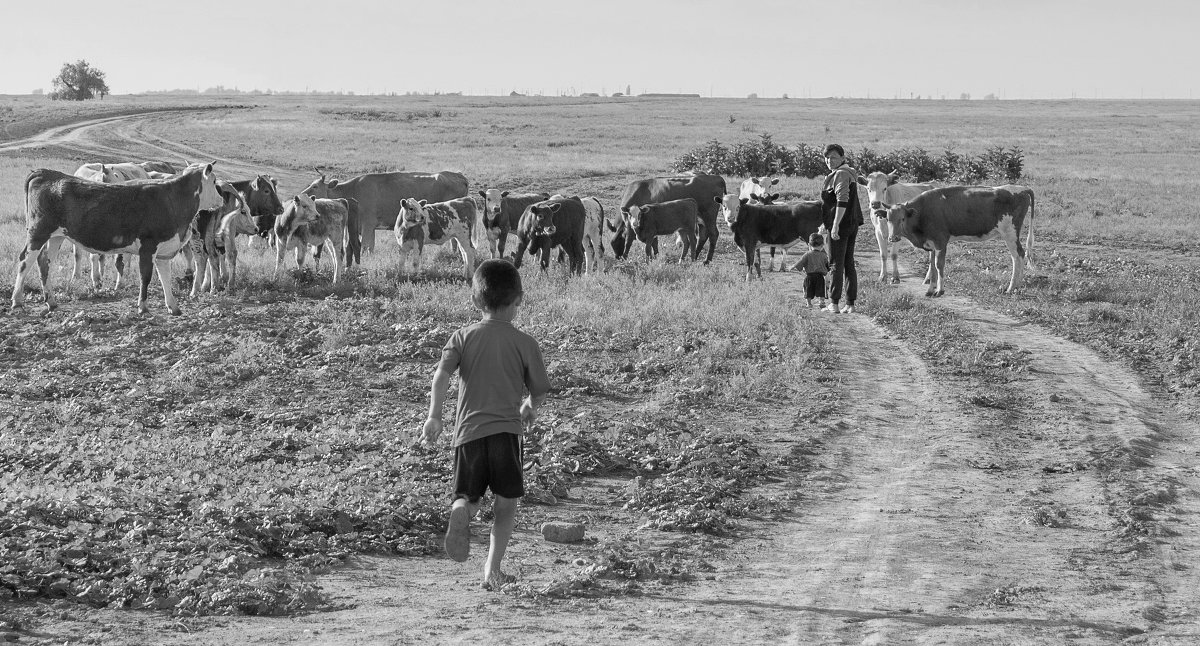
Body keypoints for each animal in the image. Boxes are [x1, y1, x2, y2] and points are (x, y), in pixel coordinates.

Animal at [12, 163, 223, 314]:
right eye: (214, 182)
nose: (221, 200)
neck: (172, 199)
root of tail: (45, 173)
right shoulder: (148, 246)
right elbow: (145, 276)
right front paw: (143, 307)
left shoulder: (164, 249)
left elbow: (165, 277)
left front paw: (173, 306)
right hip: (38, 232)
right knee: (25, 261)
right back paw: (17, 300)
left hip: (56, 236)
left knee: (44, 262)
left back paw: (51, 302)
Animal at [300, 168, 468, 253]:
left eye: (315, 186)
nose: (302, 195)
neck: (352, 190)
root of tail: (459, 175)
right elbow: (369, 246)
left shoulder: (368, 224)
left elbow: (365, 246)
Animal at [888, 182, 1036, 295]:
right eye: (888, 219)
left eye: (902, 219)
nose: (892, 238)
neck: (923, 211)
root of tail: (1021, 188)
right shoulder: (931, 244)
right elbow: (932, 266)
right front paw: (930, 290)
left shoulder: (941, 241)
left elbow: (939, 265)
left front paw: (940, 291)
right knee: (1019, 255)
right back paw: (1017, 286)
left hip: (1010, 233)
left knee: (1018, 256)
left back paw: (1011, 288)